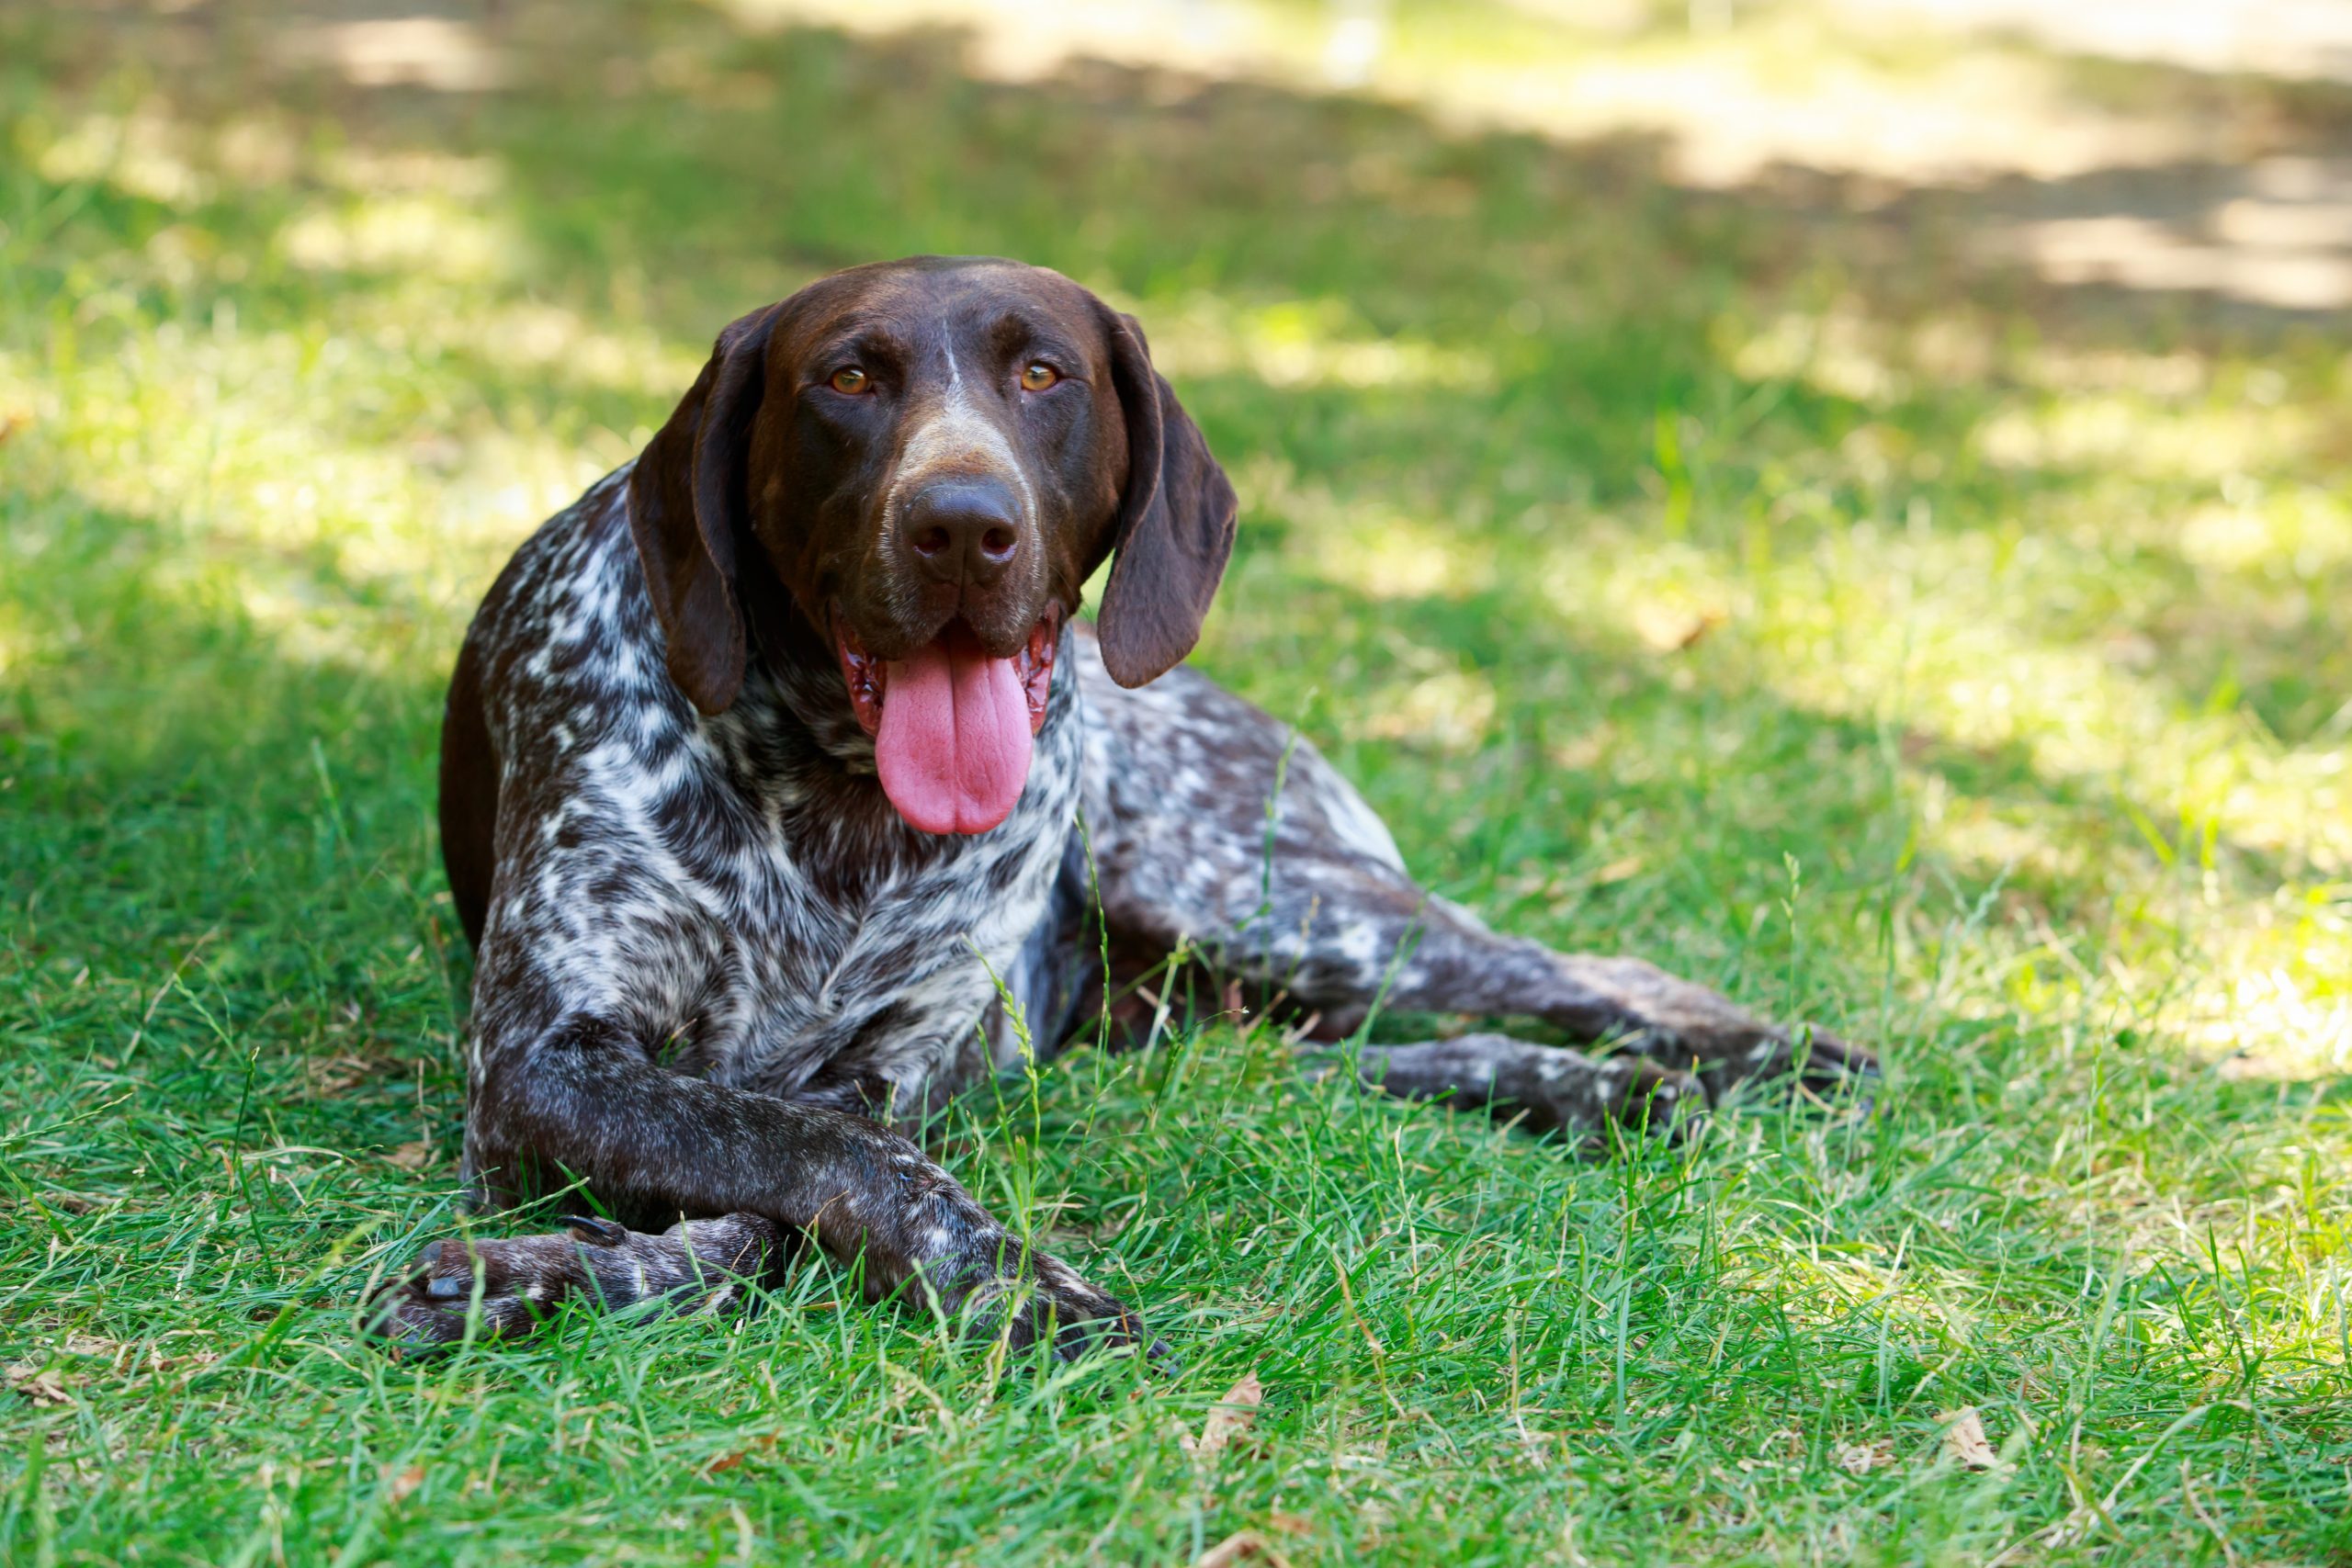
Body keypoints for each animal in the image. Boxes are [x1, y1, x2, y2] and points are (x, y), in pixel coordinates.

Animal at [371, 254, 1871, 1354]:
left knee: (1565, 968)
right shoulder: (545, 1059)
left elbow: (811, 1171)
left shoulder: (895, 1068)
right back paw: (1596, 1089)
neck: (832, 794)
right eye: (847, 377)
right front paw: (549, 1270)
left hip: (1268, 898)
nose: (961, 525)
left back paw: (1762, 1054)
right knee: (1301, 1063)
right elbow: (804, 1161)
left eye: (1044, 373)